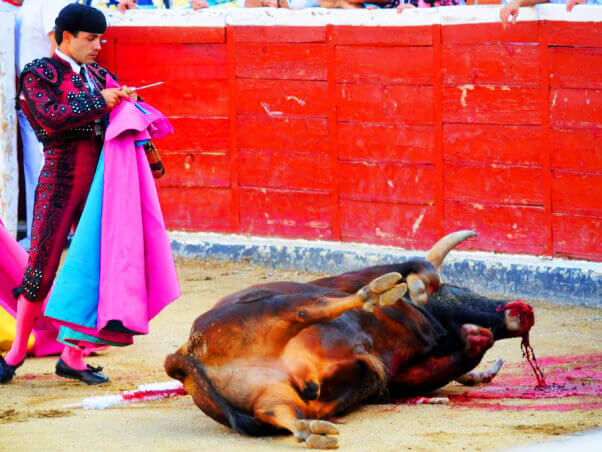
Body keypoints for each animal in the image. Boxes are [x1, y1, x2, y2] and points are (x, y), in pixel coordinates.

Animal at [163, 231, 528, 450]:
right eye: (457, 290)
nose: (522, 313)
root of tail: (183, 356)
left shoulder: (398, 376)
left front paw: (475, 341)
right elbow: (411, 270)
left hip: (274, 396)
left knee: (276, 410)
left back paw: (311, 432)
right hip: (278, 308)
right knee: (309, 309)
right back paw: (375, 290)